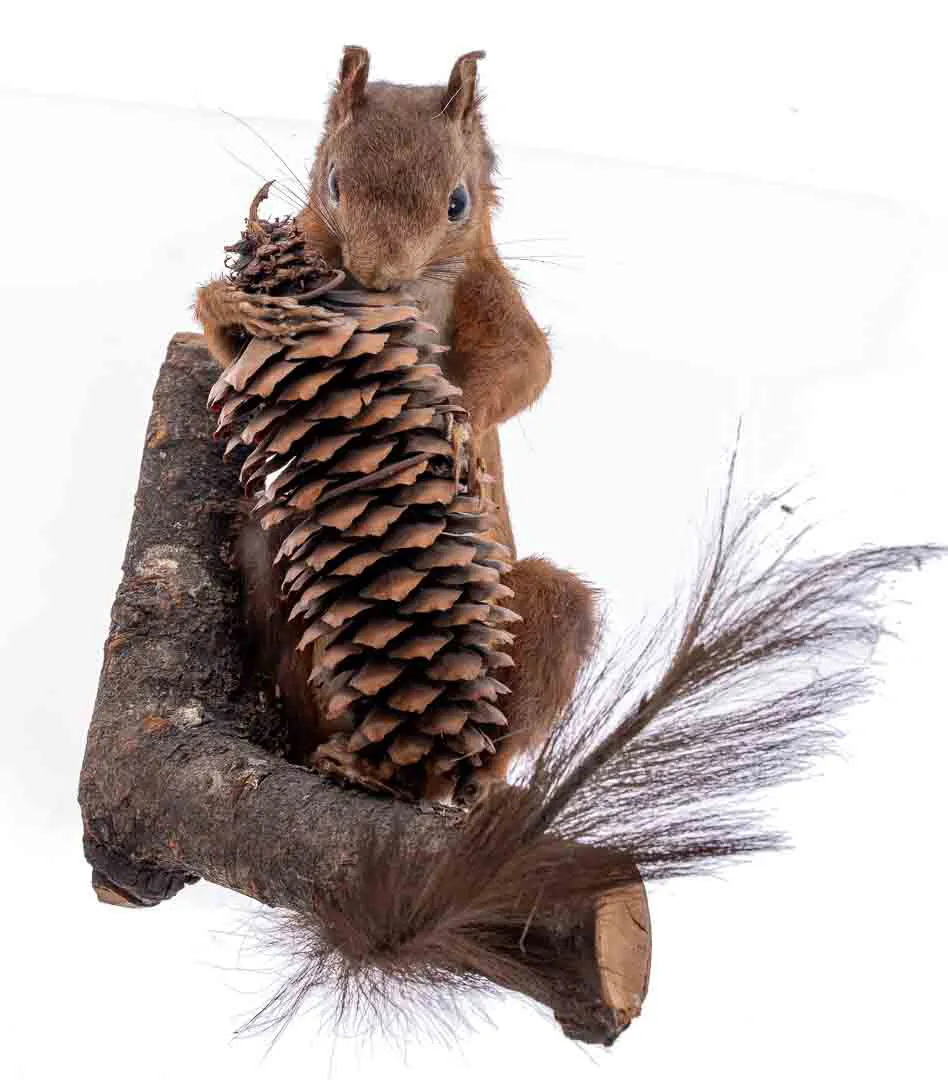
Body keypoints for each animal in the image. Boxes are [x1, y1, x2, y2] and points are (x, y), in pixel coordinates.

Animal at [193, 47, 928, 1038]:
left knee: (486, 749)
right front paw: (238, 300)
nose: (377, 276)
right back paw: (331, 747)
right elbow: (219, 339)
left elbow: (528, 365)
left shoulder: (492, 293)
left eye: (457, 202)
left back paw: (463, 790)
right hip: (273, 569)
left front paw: (461, 419)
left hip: (537, 616)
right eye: (333, 182)